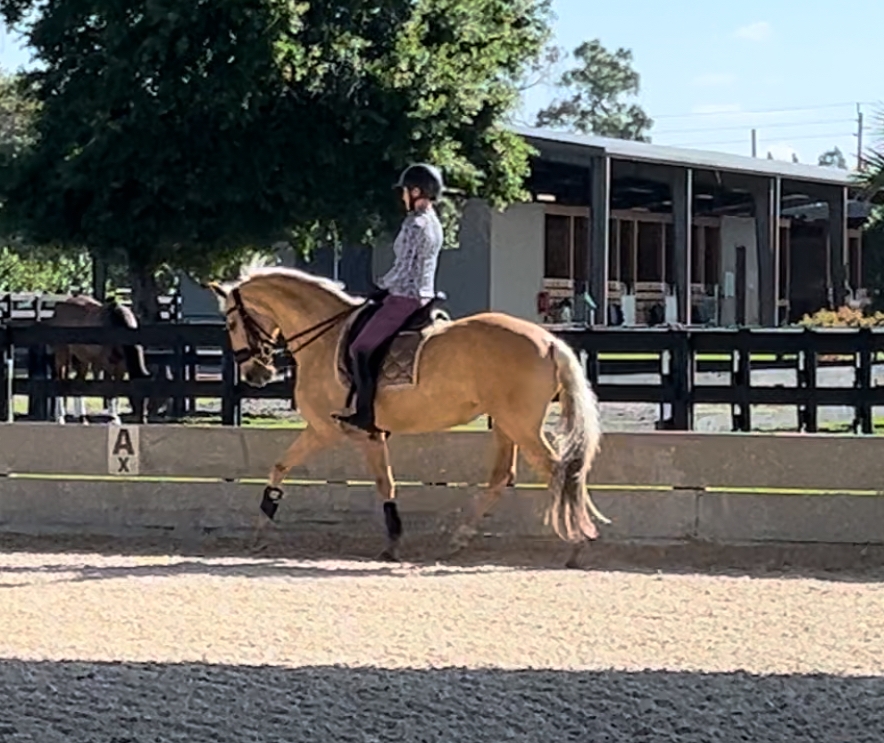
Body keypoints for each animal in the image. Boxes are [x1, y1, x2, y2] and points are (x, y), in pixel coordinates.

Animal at [47, 295, 156, 424]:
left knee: (78, 382)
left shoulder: (121, 367)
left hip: (83, 359)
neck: (118, 324)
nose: (143, 420)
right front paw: (113, 418)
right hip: (62, 355)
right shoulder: (107, 365)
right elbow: (109, 391)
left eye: (148, 397)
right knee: (59, 380)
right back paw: (60, 418)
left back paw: (83, 419)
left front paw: (115, 417)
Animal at [209, 264, 608, 566]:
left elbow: (383, 483)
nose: (255, 375)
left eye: (231, 324)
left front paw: (392, 542)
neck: (325, 336)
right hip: (506, 425)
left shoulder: (340, 431)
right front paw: (262, 525)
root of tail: (549, 341)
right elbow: (281, 467)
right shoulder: (333, 431)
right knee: (507, 476)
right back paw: (461, 539)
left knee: (559, 470)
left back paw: (577, 542)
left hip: (520, 424)